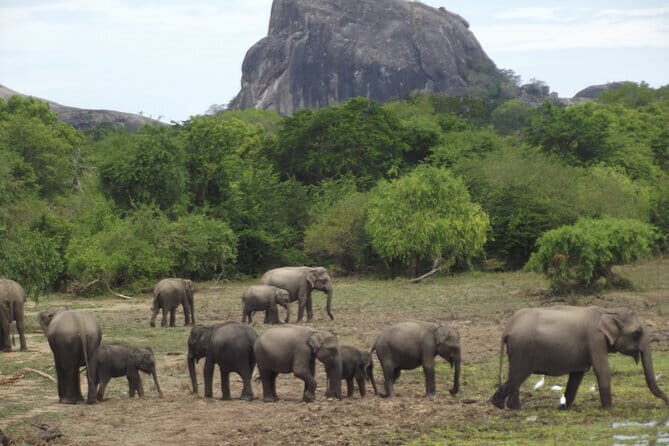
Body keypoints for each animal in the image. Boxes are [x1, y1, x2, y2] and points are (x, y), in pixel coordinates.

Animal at [491, 305, 669, 410]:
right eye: (637, 333)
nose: (667, 403)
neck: (608, 311)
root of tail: (507, 328)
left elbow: (577, 375)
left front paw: (563, 408)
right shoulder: (595, 339)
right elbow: (602, 370)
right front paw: (608, 408)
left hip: (517, 350)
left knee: (514, 376)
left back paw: (502, 405)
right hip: (522, 349)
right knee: (518, 375)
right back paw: (509, 407)